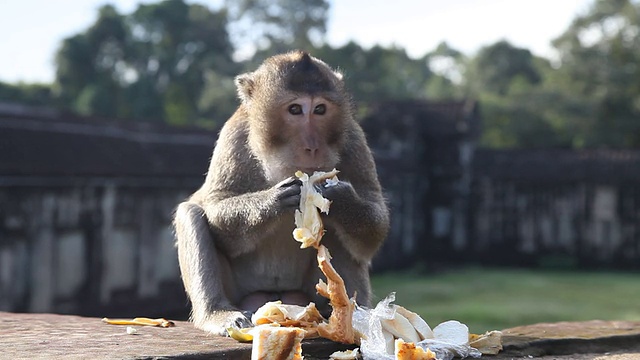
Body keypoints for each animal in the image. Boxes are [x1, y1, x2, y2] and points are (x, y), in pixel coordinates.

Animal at [172, 49, 390, 336]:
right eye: (295, 109)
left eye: (320, 109)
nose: (313, 147)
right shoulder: (235, 135)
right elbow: (217, 212)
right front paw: (273, 200)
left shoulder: (354, 138)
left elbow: (375, 225)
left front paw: (341, 198)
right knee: (191, 213)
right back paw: (217, 313)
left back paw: (347, 313)